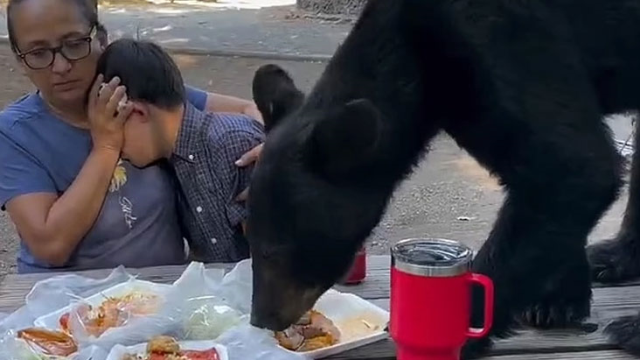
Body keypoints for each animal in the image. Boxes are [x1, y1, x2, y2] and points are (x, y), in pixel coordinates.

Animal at [244, 0, 640, 356]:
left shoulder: (503, 40)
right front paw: (558, 299)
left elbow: (572, 167)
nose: (261, 318)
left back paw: (630, 327)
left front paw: (466, 335)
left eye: (274, 251)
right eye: (250, 238)